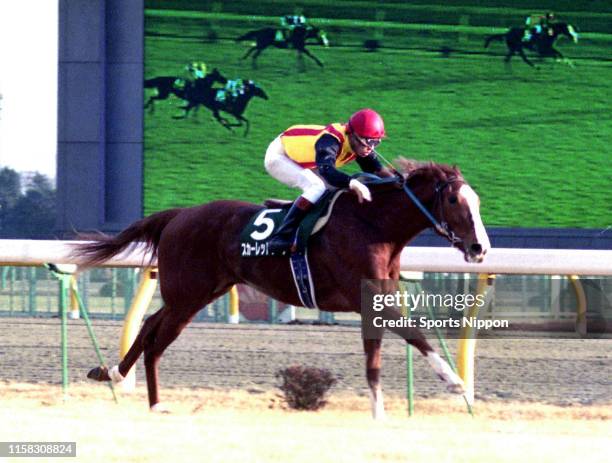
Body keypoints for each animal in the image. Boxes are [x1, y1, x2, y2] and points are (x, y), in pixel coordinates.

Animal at [74, 161, 490, 418]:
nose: (480, 248)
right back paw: (130, 385)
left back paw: (133, 388)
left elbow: (373, 360)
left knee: (150, 331)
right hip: (187, 295)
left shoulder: (373, 300)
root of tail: (179, 214)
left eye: (478, 201)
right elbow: (414, 333)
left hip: (195, 295)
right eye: (454, 199)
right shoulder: (371, 298)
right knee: (153, 336)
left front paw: (378, 413)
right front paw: (456, 382)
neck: (373, 224)